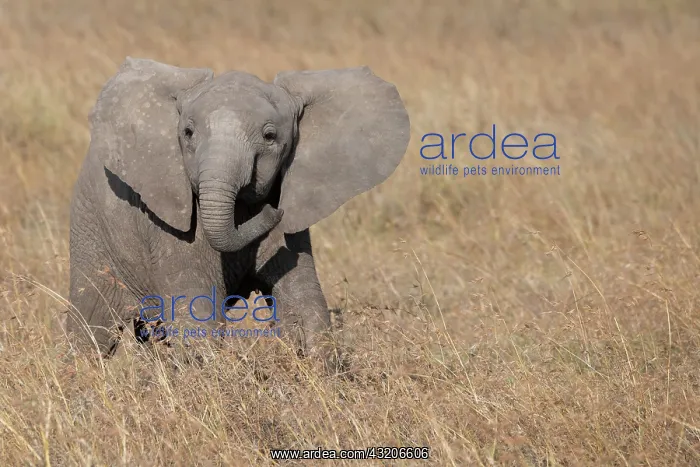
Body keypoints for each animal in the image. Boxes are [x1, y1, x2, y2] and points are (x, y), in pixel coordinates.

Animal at [66, 57, 410, 364]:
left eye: (270, 136)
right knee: (92, 324)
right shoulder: (169, 224)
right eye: (188, 133)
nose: (273, 211)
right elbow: (197, 307)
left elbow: (303, 301)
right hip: (91, 229)